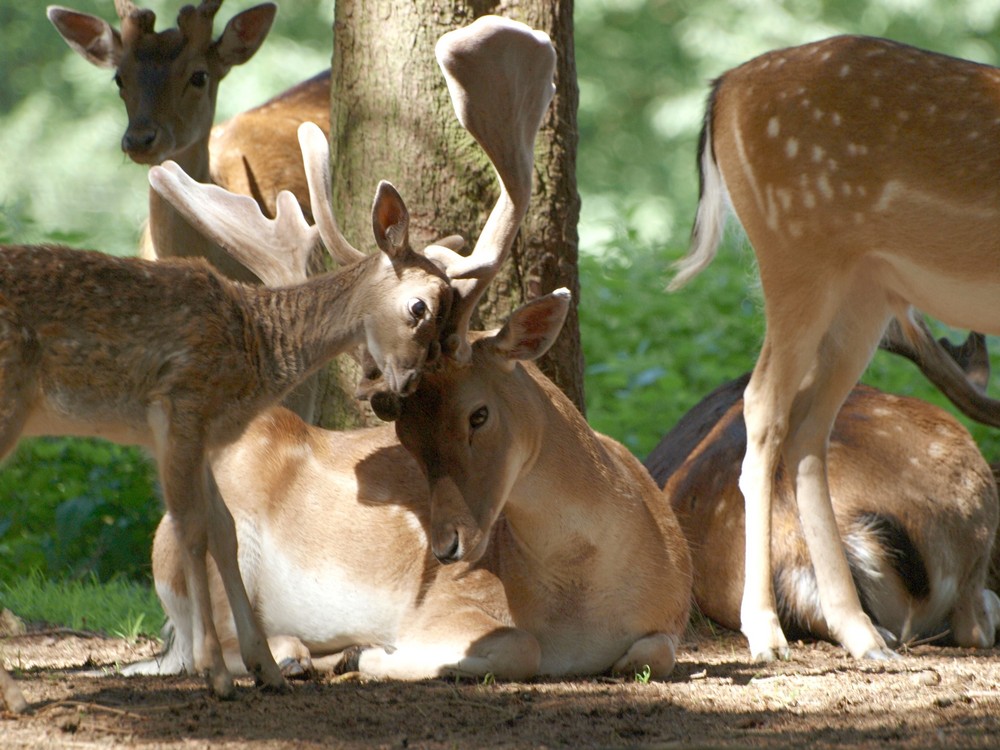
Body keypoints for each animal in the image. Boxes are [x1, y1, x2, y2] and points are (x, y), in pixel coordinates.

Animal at [0, 125, 458, 716]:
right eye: (420, 308)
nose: (406, 387)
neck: (256, 343)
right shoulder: (181, 405)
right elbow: (191, 529)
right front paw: (215, 672)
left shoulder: (208, 435)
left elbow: (225, 533)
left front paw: (267, 671)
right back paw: (18, 697)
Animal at [125, 16, 696, 688]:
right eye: (403, 432)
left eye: (479, 413)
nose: (444, 547)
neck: (589, 598)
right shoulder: (450, 606)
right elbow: (517, 646)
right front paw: (373, 654)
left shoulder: (670, 620)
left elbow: (653, 653)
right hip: (193, 561)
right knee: (204, 643)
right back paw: (299, 653)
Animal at [668, 33, 1000, 664]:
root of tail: (723, 87)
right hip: (796, 251)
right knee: (764, 405)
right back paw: (766, 632)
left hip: (865, 289)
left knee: (806, 427)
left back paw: (862, 635)